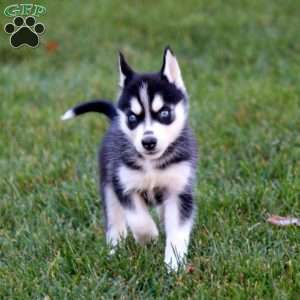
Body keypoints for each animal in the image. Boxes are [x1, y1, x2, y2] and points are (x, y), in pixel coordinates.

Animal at [61, 47, 197, 272]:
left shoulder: (180, 190)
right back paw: (114, 251)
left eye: (164, 113)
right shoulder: (123, 184)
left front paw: (174, 265)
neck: (151, 164)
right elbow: (139, 220)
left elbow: (177, 231)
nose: (148, 142)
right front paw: (149, 238)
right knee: (115, 222)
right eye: (133, 117)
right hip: (108, 188)